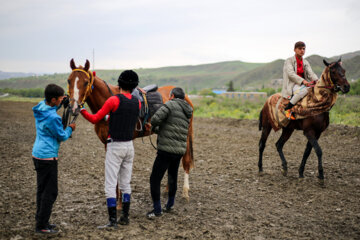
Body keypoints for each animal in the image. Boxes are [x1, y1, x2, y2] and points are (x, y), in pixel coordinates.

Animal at [64, 58, 194, 202]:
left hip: (186, 134)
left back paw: (185, 191)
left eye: (86, 82)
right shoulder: (107, 143)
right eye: (69, 80)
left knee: (186, 160)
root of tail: (185, 97)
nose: (74, 107)